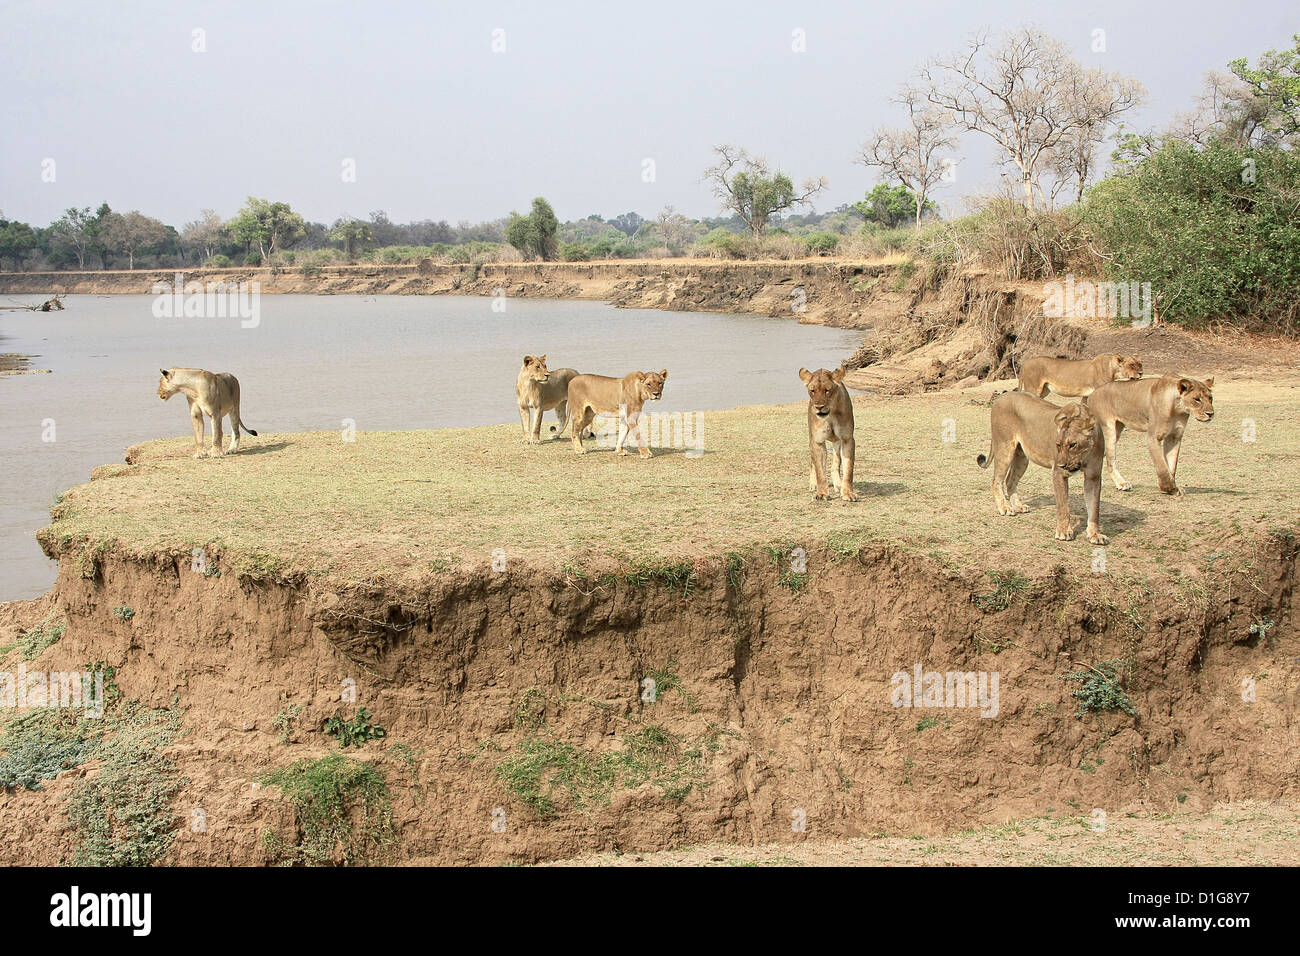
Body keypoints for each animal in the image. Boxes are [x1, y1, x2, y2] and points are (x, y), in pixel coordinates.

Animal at [795, 364, 857, 504]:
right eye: (812, 390)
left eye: (827, 390)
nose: (819, 407)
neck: (831, 414)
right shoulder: (817, 441)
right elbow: (819, 470)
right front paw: (821, 493)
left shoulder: (847, 439)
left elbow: (848, 469)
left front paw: (848, 492)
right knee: (813, 463)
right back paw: (813, 484)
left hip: (837, 443)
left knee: (836, 463)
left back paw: (838, 484)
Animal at [977, 390, 1107, 546]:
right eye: (1058, 445)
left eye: (1073, 445)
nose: (1062, 465)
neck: (1084, 457)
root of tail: (1001, 397)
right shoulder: (1058, 474)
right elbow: (1063, 506)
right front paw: (1064, 532)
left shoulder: (1094, 477)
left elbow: (1094, 508)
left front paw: (1095, 535)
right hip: (1004, 447)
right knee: (996, 480)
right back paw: (1005, 508)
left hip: (1022, 456)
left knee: (1010, 481)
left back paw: (1018, 506)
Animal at [1081, 371, 1211, 494]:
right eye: (1197, 399)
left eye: (1211, 398)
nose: (1211, 413)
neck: (1177, 409)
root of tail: (1091, 395)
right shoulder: (1152, 437)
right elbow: (1162, 466)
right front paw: (1167, 487)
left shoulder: (1175, 437)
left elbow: (1171, 465)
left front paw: (1173, 488)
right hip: (1108, 429)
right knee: (1110, 460)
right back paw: (1121, 483)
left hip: (1117, 429)